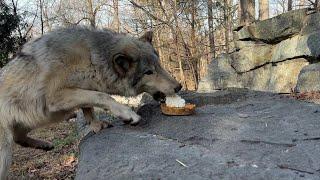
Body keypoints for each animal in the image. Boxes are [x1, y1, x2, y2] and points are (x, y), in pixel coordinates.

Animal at [0, 26, 181, 179]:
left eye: (159, 65)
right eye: (148, 72)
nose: (178, 86)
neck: (91, 58)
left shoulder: (83, 89)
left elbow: (88, 106)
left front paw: (96, 125)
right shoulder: (56, 96)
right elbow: (102, 96)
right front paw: (127, 114)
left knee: (19, 138)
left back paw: (44, 145)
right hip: (6, 151)